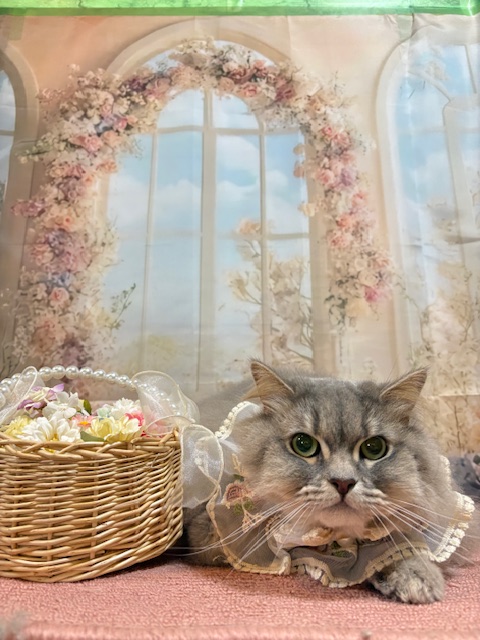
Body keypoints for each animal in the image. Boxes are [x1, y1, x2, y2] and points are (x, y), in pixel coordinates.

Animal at [182, 360, 478, 604]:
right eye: (303, 445)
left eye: (374, 448)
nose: (343, 482)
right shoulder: (210, 533)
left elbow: (397, 547)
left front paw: (417, 577)